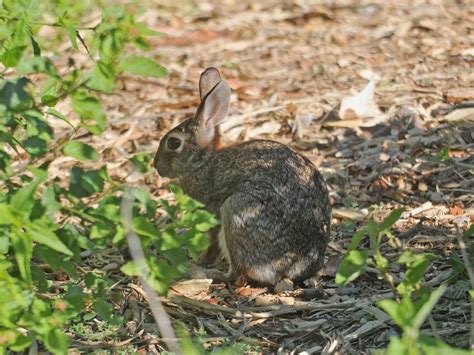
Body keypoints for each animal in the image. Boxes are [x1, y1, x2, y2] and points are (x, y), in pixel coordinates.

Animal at [154, 67, 332, 286]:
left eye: (173, 143)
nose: (156, 165)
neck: (204, 162)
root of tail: (299, 266)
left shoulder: (212, 214)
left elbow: (212, 244)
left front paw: (200, 262)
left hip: (235, 211)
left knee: (237, 273)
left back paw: (203, 273)